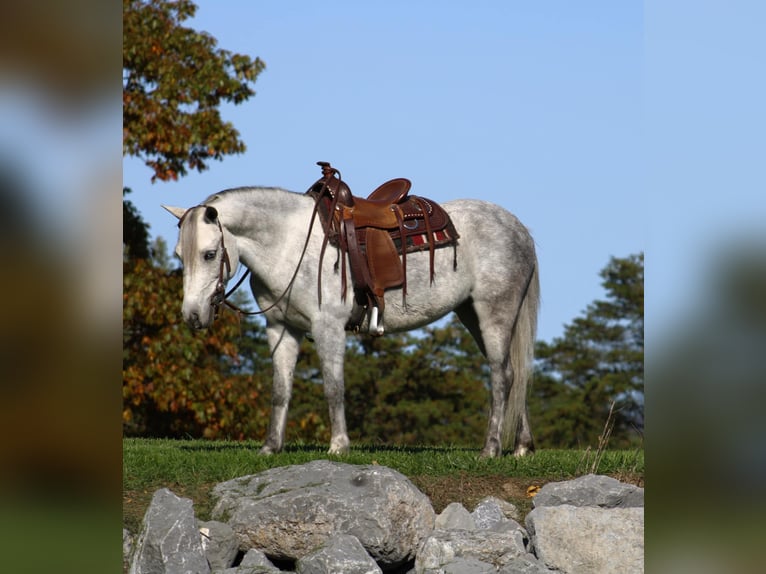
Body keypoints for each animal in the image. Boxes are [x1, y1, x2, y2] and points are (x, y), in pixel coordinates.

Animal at [165, 187, 540, 462]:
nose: (192, 315)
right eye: (179, 255)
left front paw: (338, 446)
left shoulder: (327, 327)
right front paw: (271, 447)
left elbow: (334, 387)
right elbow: (280, 390)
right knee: (516, 373)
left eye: (209, 254)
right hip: (472, 315)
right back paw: (521, 447)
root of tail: (519, 228)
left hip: (494, 313)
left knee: (502, 376)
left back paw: (491, 449)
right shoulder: (281, 329)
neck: (289, 245)